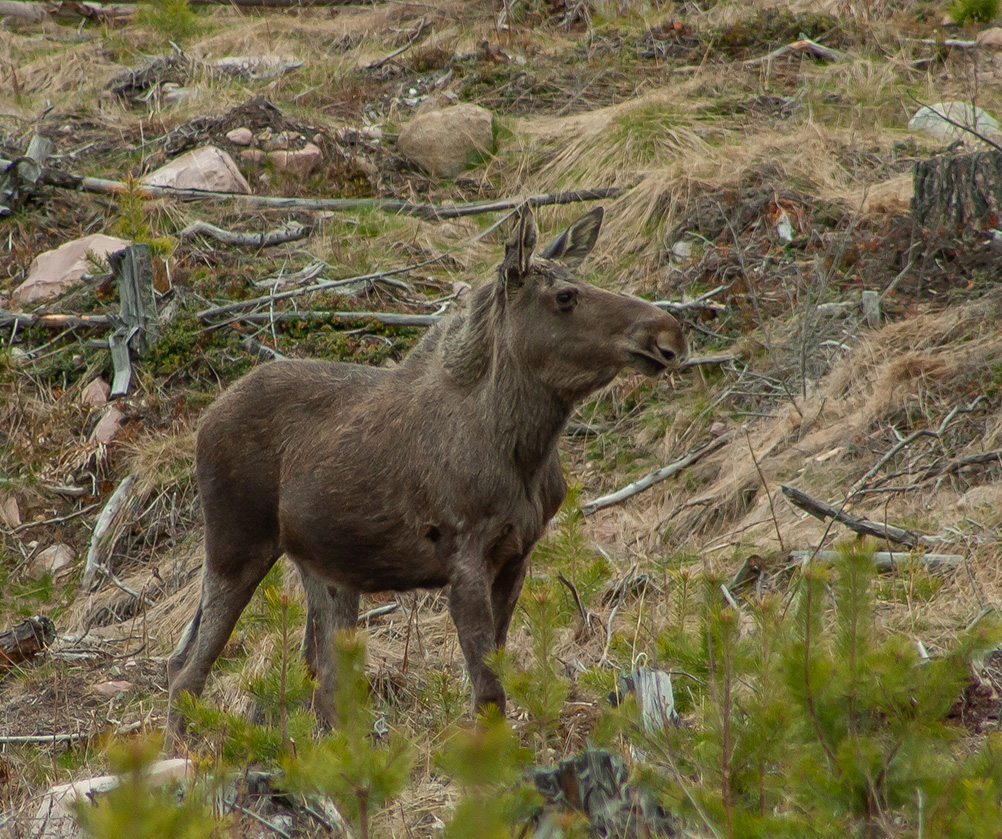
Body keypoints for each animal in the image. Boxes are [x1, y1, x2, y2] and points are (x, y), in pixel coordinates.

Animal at [168, 206, 685, 737]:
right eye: (565, 296)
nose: (668, 334)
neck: (524, 449)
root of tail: (205, 418)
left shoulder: (517, 556)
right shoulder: (465, 556)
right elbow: (488, 692)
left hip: (322, 567)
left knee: (320, 682)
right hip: (235, 542)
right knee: (186, 670)